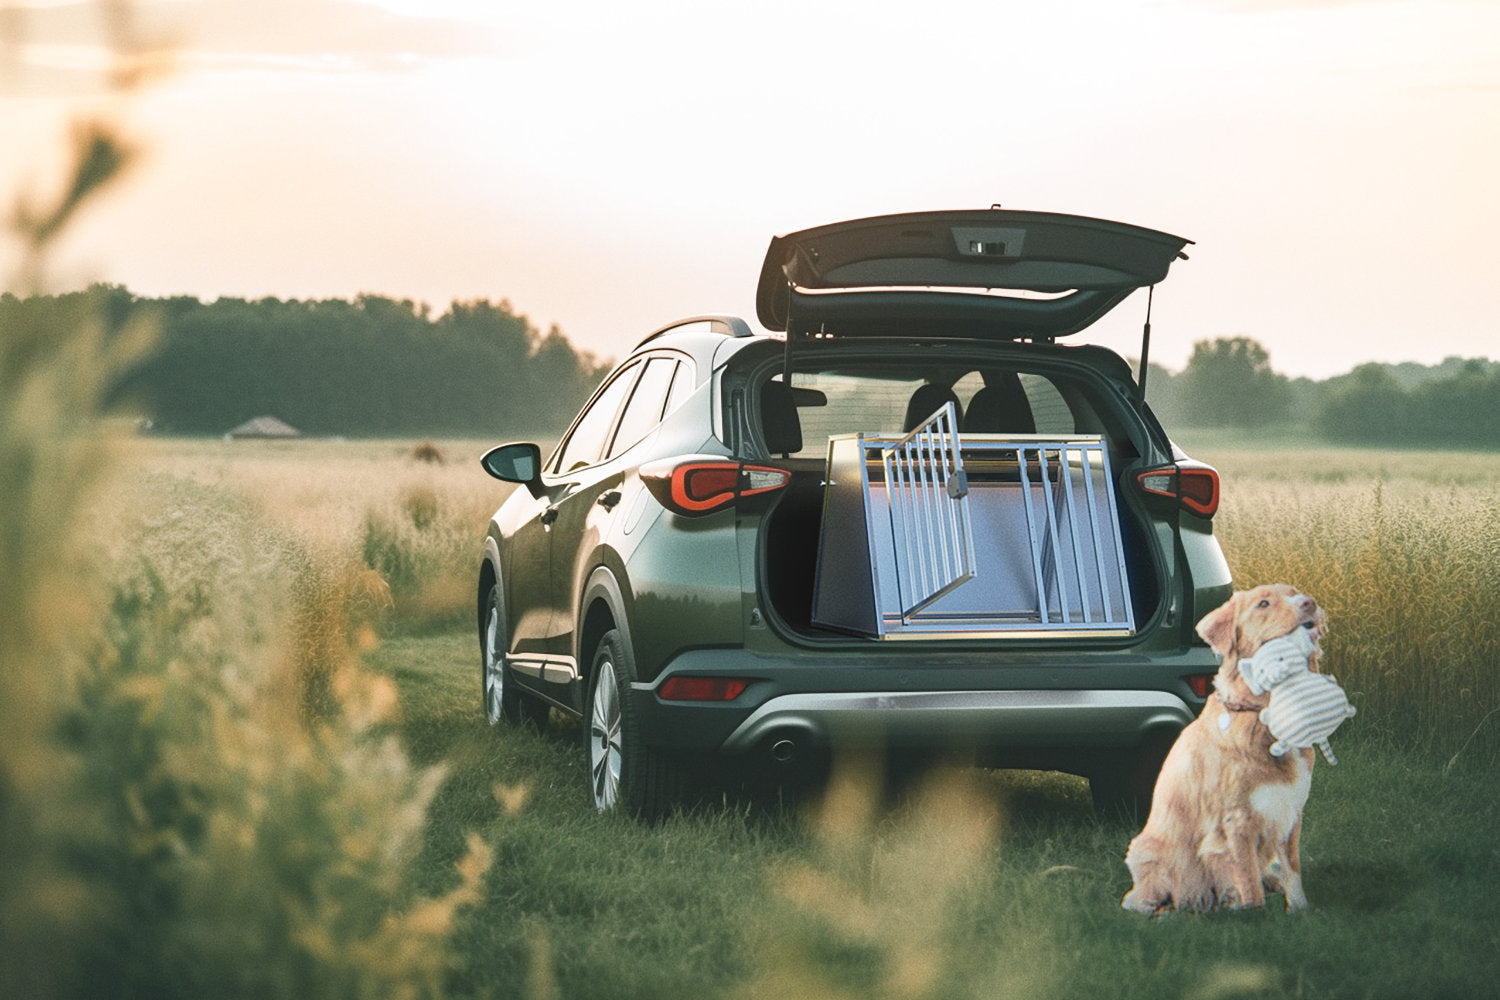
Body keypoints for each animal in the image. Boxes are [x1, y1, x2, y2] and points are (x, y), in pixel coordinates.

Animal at [1128, 581, 1326, 917]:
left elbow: (1293, 870)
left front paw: (1301, 911)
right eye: (1263, 604)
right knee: (1141, 898)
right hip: (1149, 850)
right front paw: (1255, 913)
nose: (1309, 603)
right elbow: (1247, 878)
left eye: (1294, 593)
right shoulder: (1238, 819)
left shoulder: (1291, 811)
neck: (1265, 713)